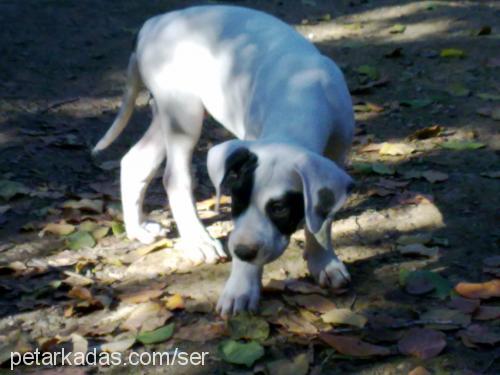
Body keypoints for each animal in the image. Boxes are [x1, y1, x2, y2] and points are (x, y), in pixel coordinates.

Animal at [93, 5, 352, 318]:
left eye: (279, 208)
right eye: (236, 199)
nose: (242, 252)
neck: (298, 92)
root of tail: (153, 22)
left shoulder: (336, 153)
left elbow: (322, 221)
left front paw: (323, 261)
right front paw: (241, 287)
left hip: (167, 114)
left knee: (135, 161)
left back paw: (137, 229)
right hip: (183, 114)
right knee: (174, 178)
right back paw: (198, 239)